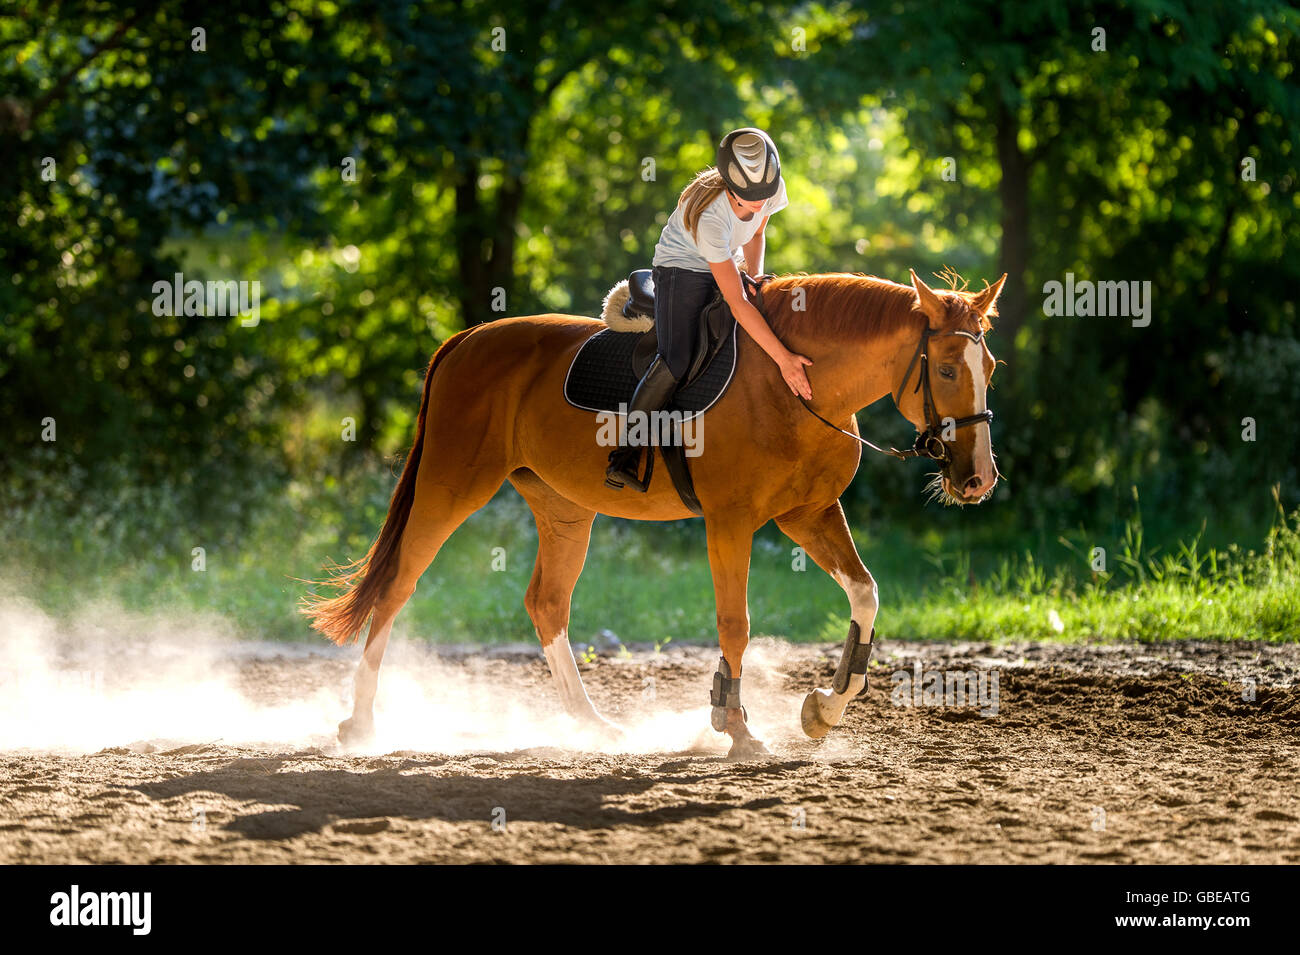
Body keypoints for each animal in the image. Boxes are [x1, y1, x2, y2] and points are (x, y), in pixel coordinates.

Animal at [301, 267, 1003, 753]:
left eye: (988, 365)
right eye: (945, 369)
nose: (977, 480)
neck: (794, 385)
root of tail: (467, 339)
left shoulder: (810, 513)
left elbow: (865, 594)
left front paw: (822, 708)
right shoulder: (730, 522)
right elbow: (735, 624)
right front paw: (736, 728)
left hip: (562, 509)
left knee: (546, 604)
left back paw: (591, 724)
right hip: (451, 486)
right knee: (398, 585)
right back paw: (360, 723)